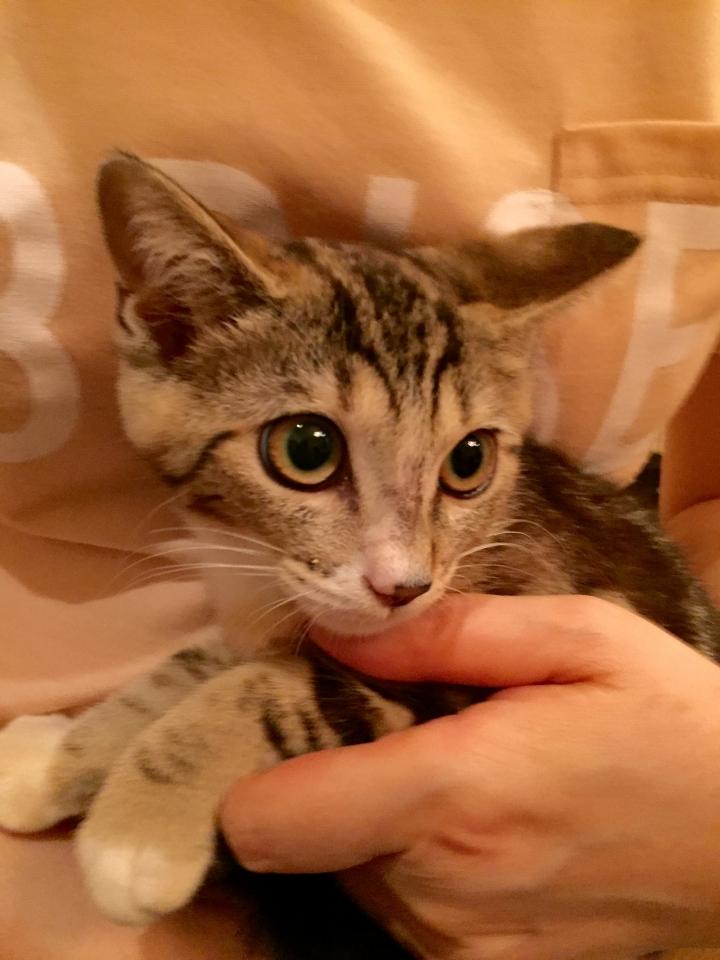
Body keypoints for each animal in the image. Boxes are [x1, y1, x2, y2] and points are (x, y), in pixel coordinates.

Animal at [0, 153, 718, 959]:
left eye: (469, 461)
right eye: (305, 449)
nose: (404, 587)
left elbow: (273, 687)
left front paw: (137, 833)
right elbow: (197, 660)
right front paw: (55, 758)